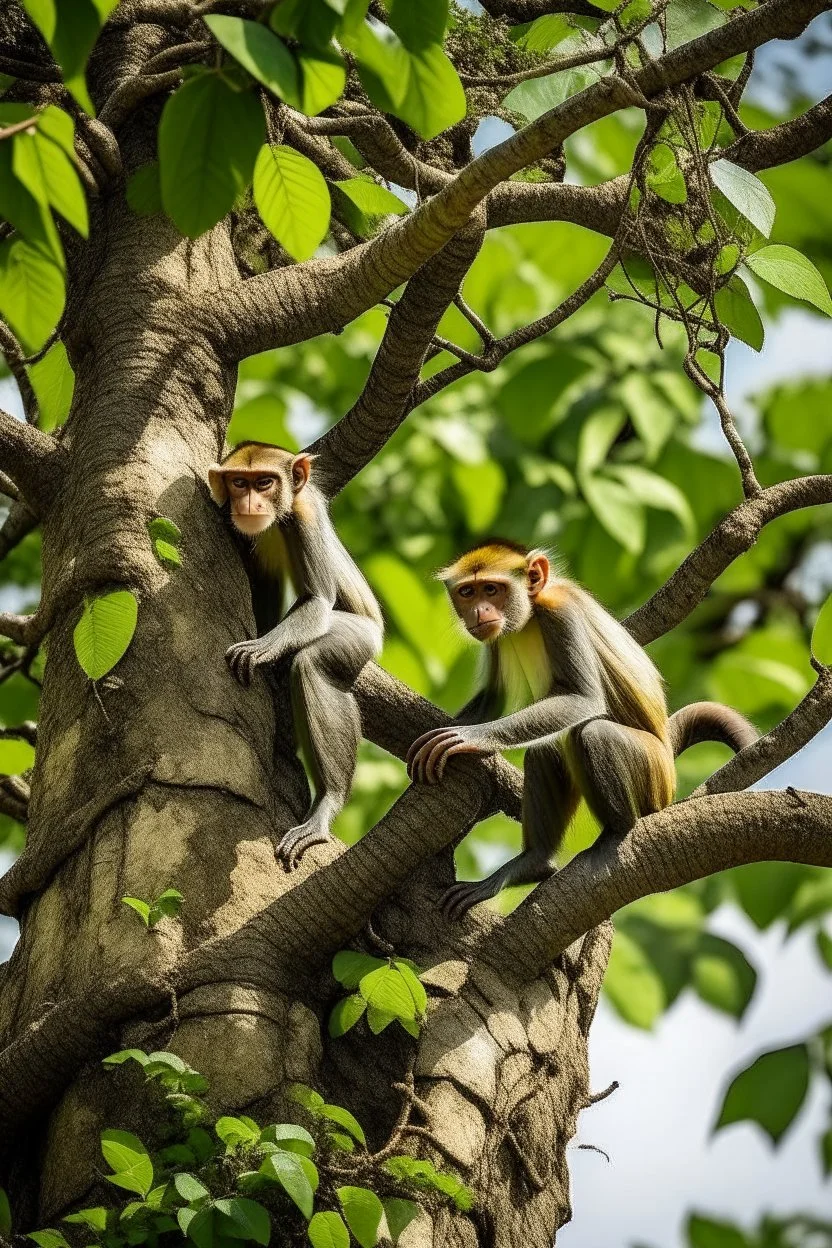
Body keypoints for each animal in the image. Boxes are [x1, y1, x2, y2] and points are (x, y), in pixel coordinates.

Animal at [213, 441, 386, 868]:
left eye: (265, 482)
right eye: (238, 482)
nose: (250, 502)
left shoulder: (306, 513)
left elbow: (318, 600)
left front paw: (260, 647)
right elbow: (264, 587)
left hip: (361, 637)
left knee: (313, 663)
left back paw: (327, 803)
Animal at [406, 541, 758, 923]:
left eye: (492, 589)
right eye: (467, 593)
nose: (480, 611)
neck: (529, 615)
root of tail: (666, 750)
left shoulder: (561, 614)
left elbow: (584, 700)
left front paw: (470, 738)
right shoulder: (494, 638)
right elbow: (493, 698)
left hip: (654, 772)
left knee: (592, 734)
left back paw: (617, 832)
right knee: (547, 750)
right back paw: (533, 863)